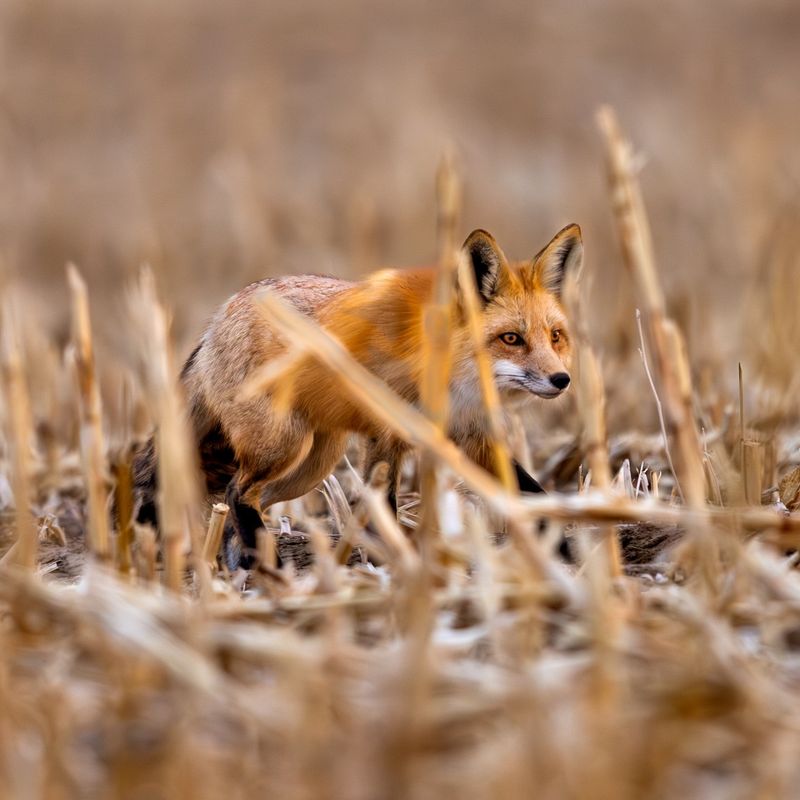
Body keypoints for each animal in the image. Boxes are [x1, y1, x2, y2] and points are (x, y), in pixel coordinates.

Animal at [133, 222, 580, 564]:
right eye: (512, 338)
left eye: (556, 336)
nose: (562, 380)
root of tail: (219, 317)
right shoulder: (387, 438)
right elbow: (383, 514)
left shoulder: (473, 436)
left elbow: (532, 495)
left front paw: (566, 557)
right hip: (283, 447)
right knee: (235, 491)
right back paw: (262, 566)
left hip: (312, 465)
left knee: (239, 502)